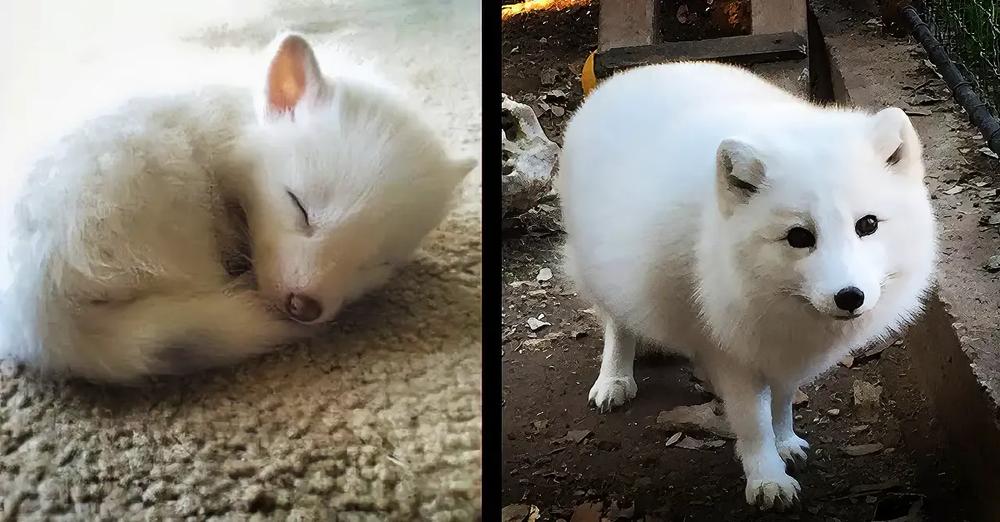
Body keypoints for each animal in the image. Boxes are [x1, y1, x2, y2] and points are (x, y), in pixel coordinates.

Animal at [560, 62, 932, 508]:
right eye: (798, 237)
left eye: (869, 224)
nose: (849, 297)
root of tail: (627, 76)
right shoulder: (729, 352)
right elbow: (753, 422)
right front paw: (767, 478)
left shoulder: (782, 351)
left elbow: (783, 402)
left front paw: (785, 441)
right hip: (602, 273)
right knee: (617, 324)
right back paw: (614, 378)